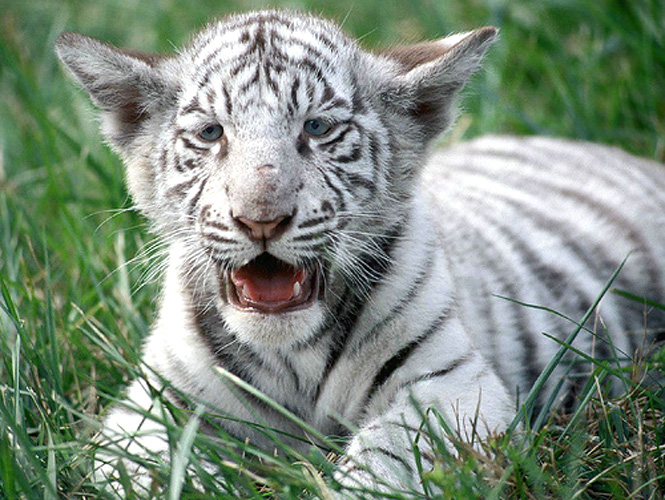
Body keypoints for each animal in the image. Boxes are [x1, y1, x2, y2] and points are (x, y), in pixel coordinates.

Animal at [55, 9, 665, 497]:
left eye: (317, 128)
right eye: (211, 133)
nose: (261, 218)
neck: (291, 357)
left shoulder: (455, 385)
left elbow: (389, 454)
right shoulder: (153, 407)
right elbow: (143, 472)